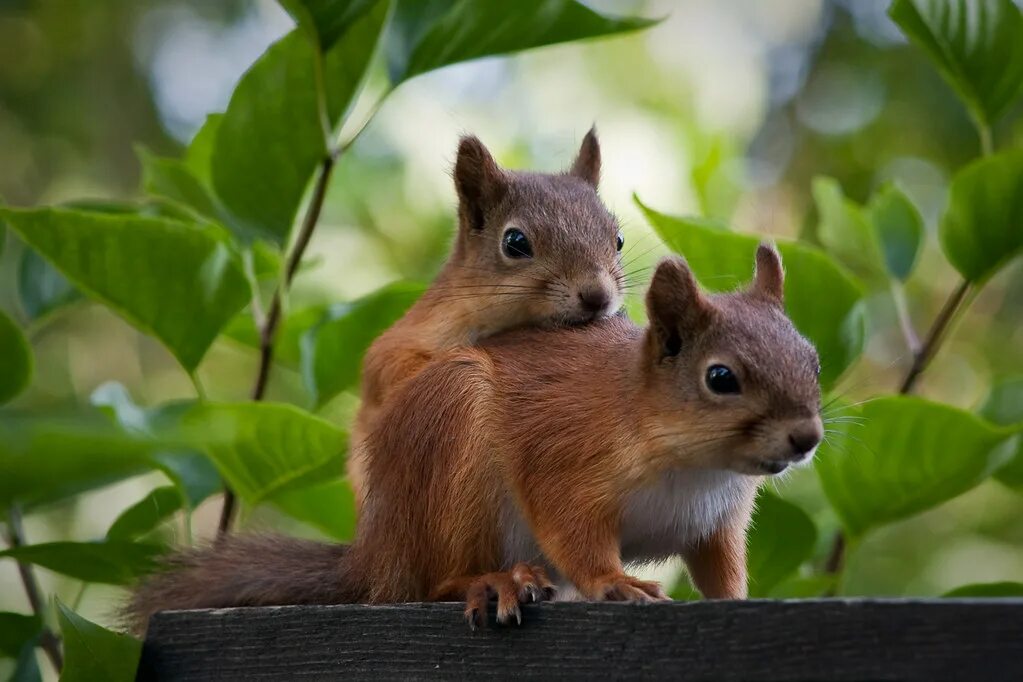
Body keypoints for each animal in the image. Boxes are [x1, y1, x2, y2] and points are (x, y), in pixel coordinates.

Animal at [125, 244, 822, 629]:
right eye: (721, 377)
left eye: (813, 359)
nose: (807, 438)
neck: (694, 462)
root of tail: (378, 554)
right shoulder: (565, 458)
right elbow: (571, 529)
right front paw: (613, 581)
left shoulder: (716, 522)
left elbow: (721, 570)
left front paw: (743, 599)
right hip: (453, 446)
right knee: (431, 584)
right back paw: (488, 582)